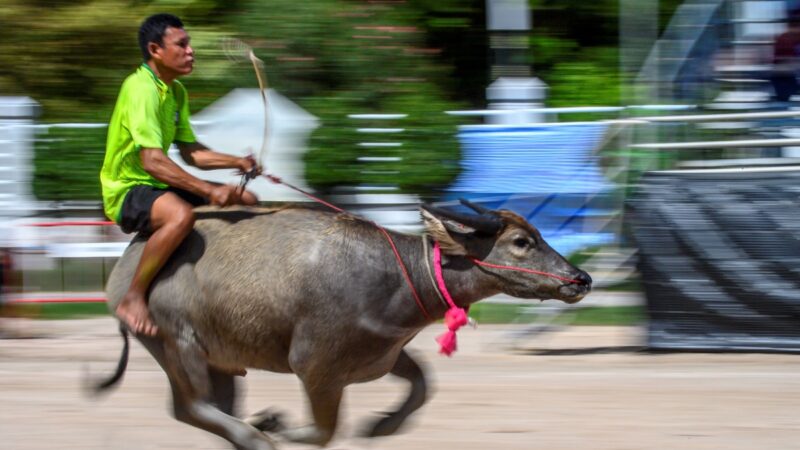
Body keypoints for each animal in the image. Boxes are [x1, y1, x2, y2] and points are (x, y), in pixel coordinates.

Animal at [95, 201, 592, 450]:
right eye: (522, 241)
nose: (580, 279)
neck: (398, 277)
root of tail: (126, 268)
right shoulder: (317, 369)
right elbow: (322, 432)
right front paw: (278, 426)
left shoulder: (384, 353)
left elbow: (422, 384)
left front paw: (381, 427)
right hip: (179, 345)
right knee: (194, 406)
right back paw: (256, 437)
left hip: (219, 360)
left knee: (202, 409)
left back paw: (251, 428)